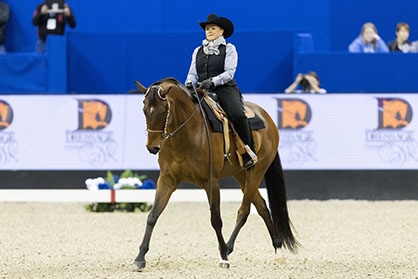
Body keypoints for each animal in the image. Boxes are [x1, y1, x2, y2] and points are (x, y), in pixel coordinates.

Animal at [133, 77, 298, 270]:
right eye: (145, 110)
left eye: (163, 111)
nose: (152, 147)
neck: (187, 133)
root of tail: (268, 119)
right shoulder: (167, 180)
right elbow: (153, 216)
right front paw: (140, 257)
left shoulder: (210, 182)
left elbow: (216, 219)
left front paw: (223, 257)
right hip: (241, 175)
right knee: (262, 206)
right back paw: (276, 248)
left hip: (257, 171)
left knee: (244, 211)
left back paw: (229, 249)